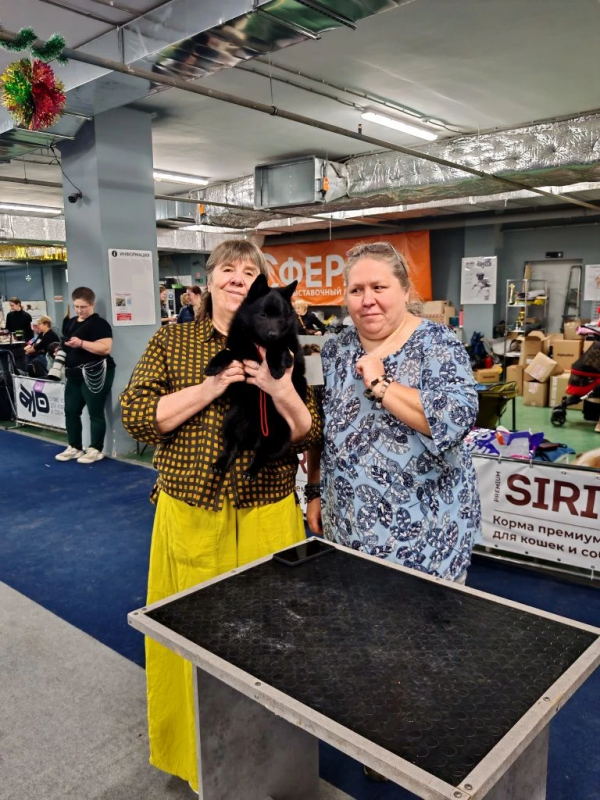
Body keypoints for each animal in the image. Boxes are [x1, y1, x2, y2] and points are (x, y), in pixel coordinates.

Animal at [205, 274, 307, 480]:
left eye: (280, 317)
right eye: (262, 315)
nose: (272, 333)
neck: (259, 343)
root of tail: (252, 436)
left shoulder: (288, 348)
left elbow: (279, 347)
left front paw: (276, 365)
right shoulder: (239, 352)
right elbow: (228, 351)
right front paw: (213, 365)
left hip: (277, 432)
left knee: (262, 453)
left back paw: (251, 471)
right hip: (232, 419)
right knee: (231, 447)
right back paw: (220, 464)